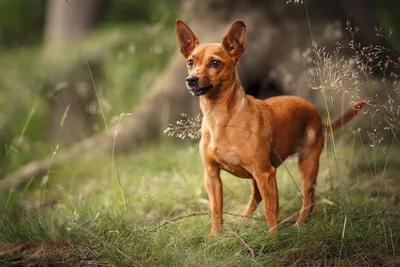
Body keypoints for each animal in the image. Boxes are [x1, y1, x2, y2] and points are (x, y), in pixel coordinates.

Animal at [176, 19, 366, 236]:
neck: (220, 118)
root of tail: (316, 114)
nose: (191, 80)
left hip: (306, 165)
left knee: (308, 199)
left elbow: (269, 210)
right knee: (257, 198)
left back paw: (299, 225)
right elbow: (217, 210)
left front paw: (273, 238)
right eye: (191, 62)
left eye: (215, 62)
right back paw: (243, 220)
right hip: (259, 176)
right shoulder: (212, 176)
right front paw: (215, 236)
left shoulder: (265, 173)